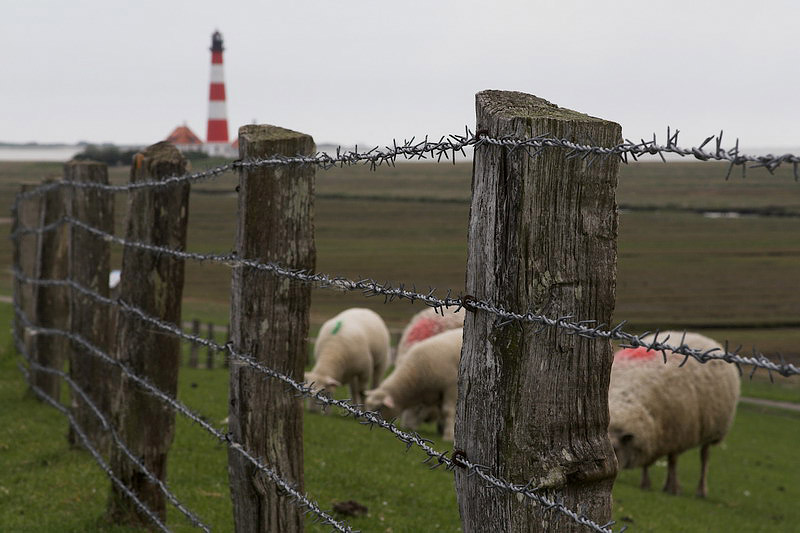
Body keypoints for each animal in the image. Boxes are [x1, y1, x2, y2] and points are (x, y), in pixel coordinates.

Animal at [608, 330, 740, 496]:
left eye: (616, 449)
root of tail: (703, 337)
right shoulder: (652, 436)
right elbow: (648, 463)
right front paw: (646, 483)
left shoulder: (676, 433)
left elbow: (672, 461)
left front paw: (673, 488)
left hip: (710, 430)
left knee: (704, 457)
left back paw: (701, 490)